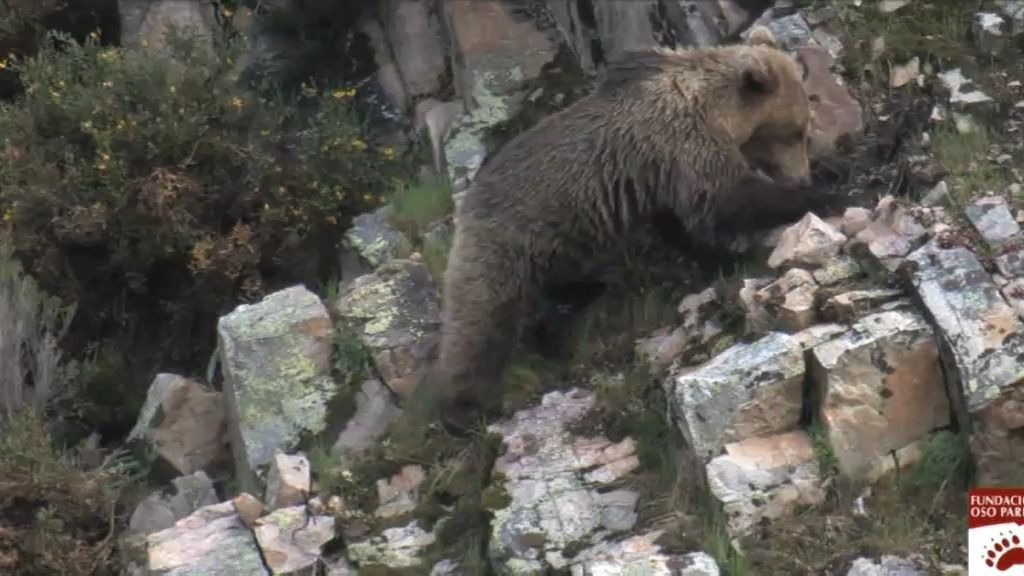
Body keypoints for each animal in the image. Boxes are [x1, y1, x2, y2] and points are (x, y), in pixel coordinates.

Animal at [419, 27, 827, 431]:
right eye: (796, 132)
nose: (802, 175)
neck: (714, 110)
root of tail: (465, 205)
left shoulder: (661, 179)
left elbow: (685, 228)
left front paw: (715, 259)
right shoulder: (682, 146)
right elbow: (726, 200)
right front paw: (822, 190)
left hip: (556, 255)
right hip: (506, 248)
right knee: (479, 322)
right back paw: (464, 410)